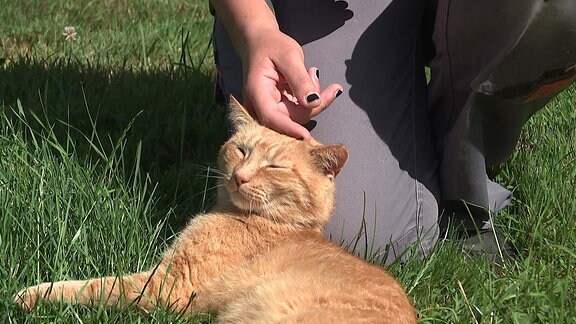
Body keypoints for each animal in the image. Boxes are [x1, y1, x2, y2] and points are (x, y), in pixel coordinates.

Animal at [14, 97, 418, 324]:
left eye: (274, 166)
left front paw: (30, 295)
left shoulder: (168, 286)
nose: (239, 176)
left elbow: (92, 287)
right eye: (241, 150)